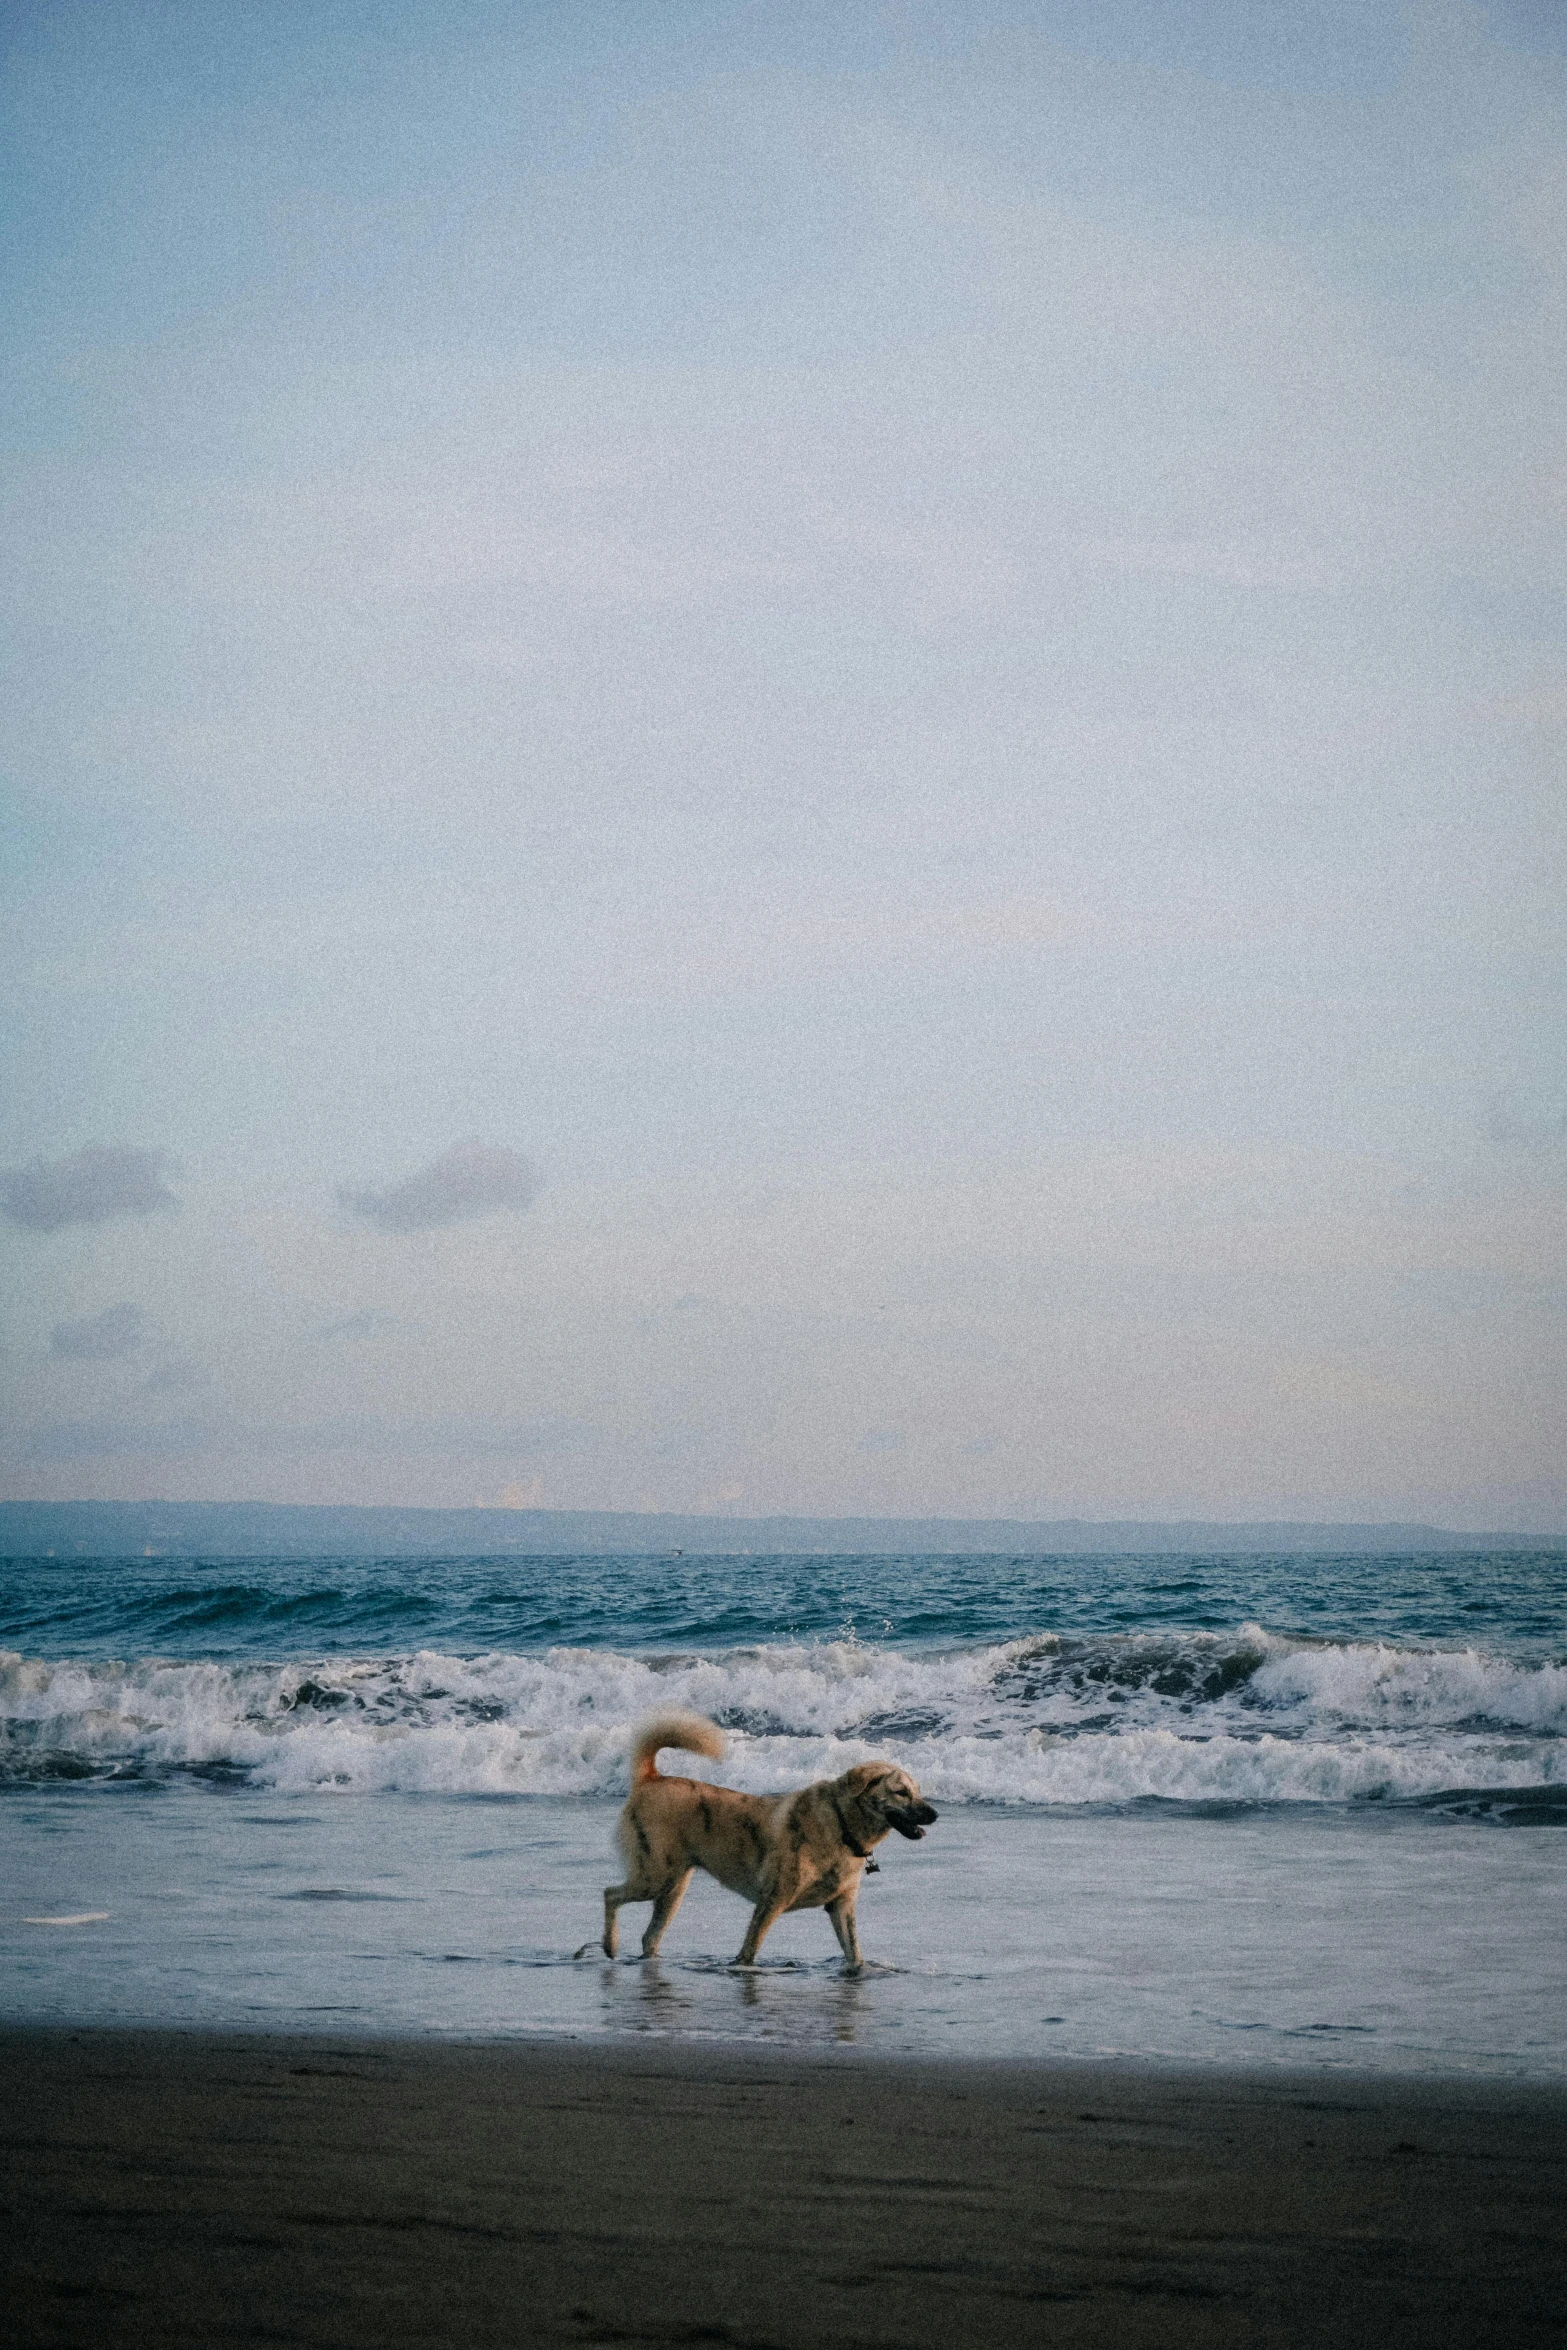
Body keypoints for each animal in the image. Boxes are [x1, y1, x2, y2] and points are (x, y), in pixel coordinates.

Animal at [580, 1710, 939, 1964]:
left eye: (918, 1790)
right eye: (901, 1792)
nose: (935, 1814)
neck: (841, 1825)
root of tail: (651, 1779)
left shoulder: (841, 1907)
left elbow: (855, 1955)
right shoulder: (772, 1900)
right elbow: (750, 1950)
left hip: (673, 1888)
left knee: (649, 1936)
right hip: (655, 1875)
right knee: (610, 1894)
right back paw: (610, 1946)